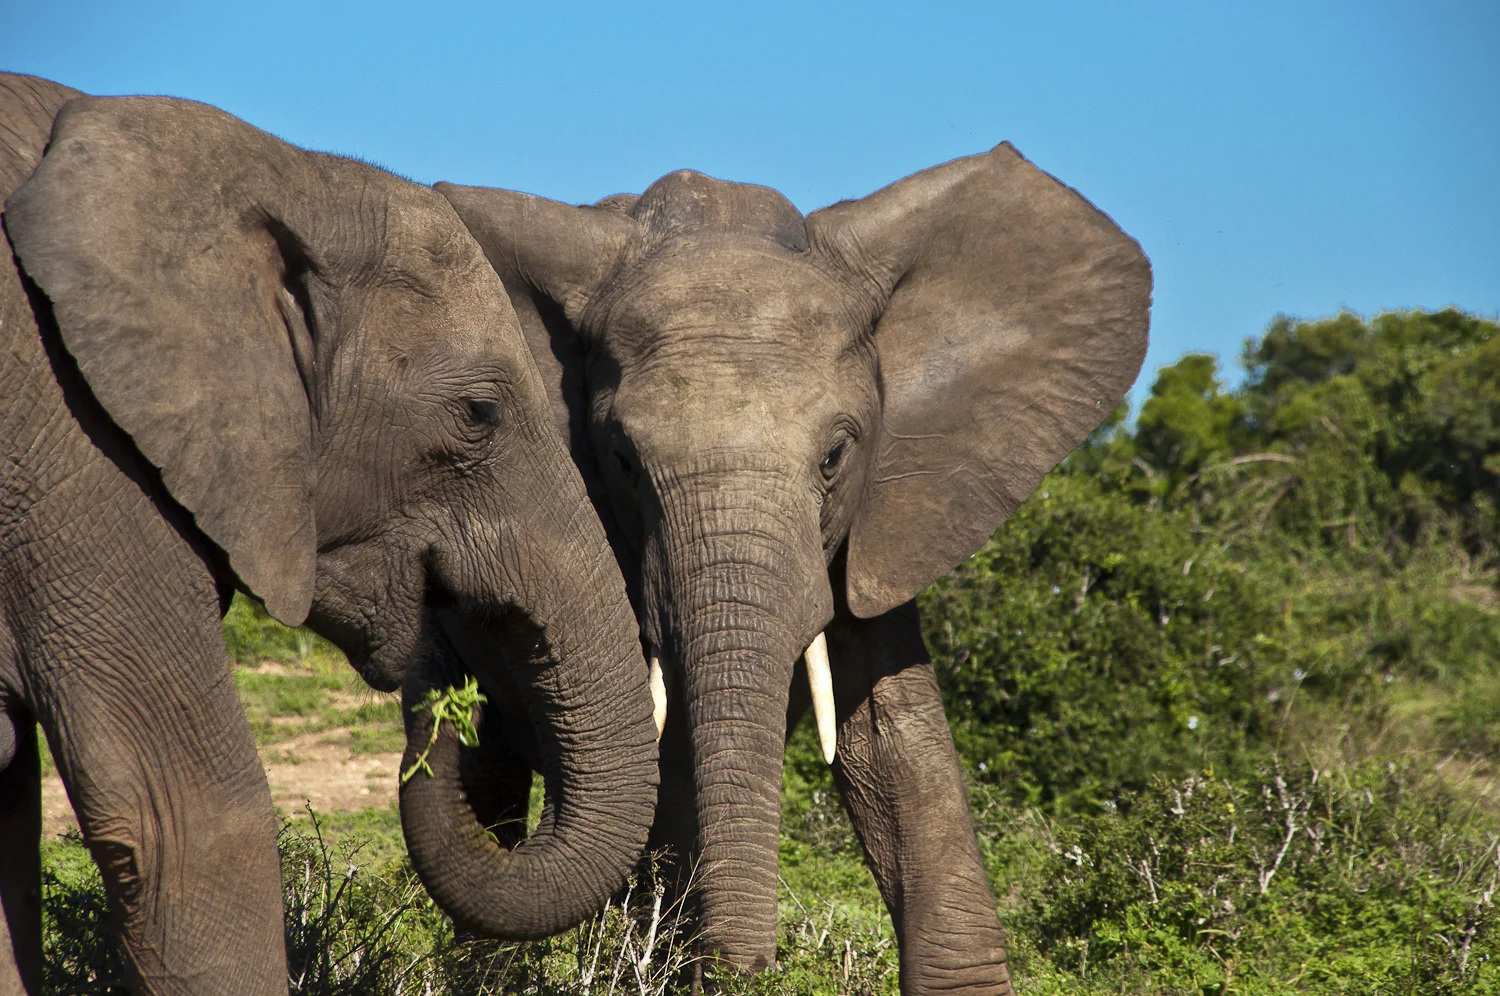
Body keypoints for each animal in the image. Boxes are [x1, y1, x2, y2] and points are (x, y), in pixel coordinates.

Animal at [438, 144, 1150, 993]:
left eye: (836, 455)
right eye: (622, 460)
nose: (751, 968)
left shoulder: (873, 522)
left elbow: (897, 743)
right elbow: (671, 761)